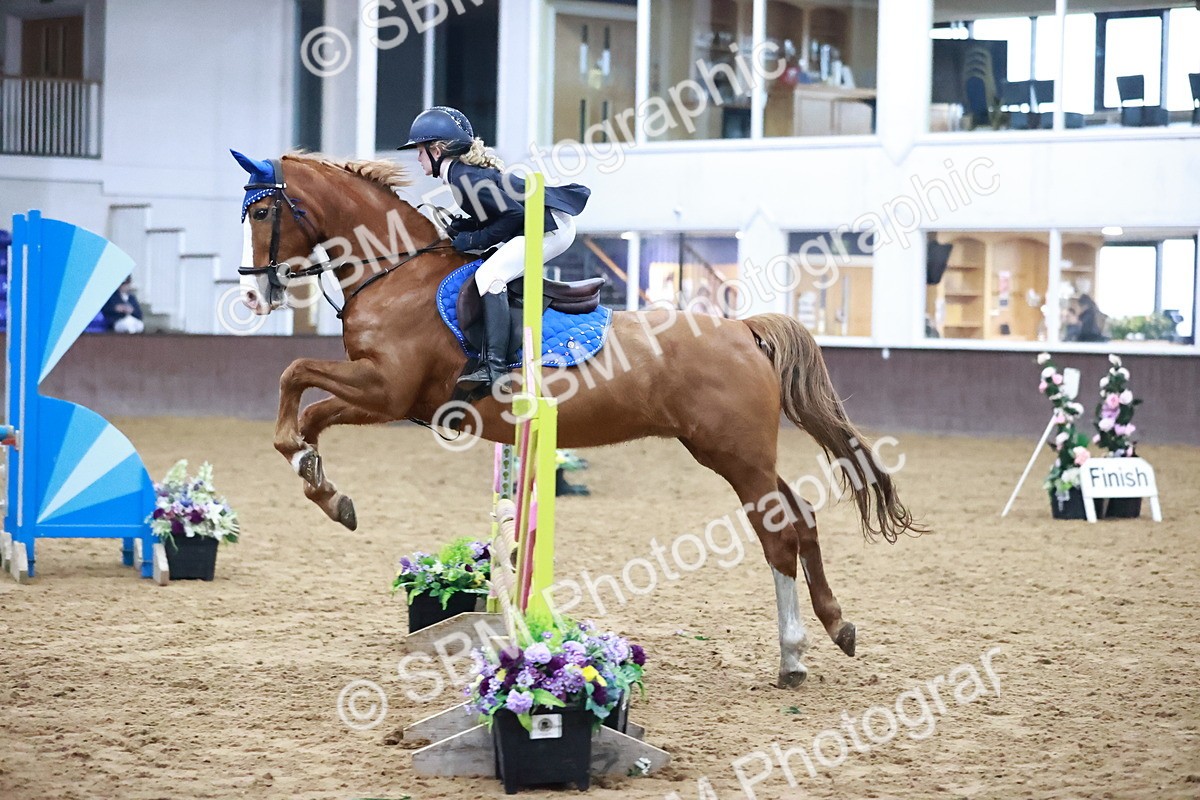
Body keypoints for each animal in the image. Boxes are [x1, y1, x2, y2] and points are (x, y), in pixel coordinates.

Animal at [234, 151, 923, 688]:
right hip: (732, 452)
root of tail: (742, 330)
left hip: (736, 455)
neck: (396, 271)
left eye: (263, 213)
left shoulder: (388, 392)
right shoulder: (380, 392)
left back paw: (792, 657)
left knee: (777, 534)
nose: (251, 293)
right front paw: (320, 480)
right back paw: (837, 626)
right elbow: (301, 391)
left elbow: (296, 379)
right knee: (800, 519)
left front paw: (321, 483)